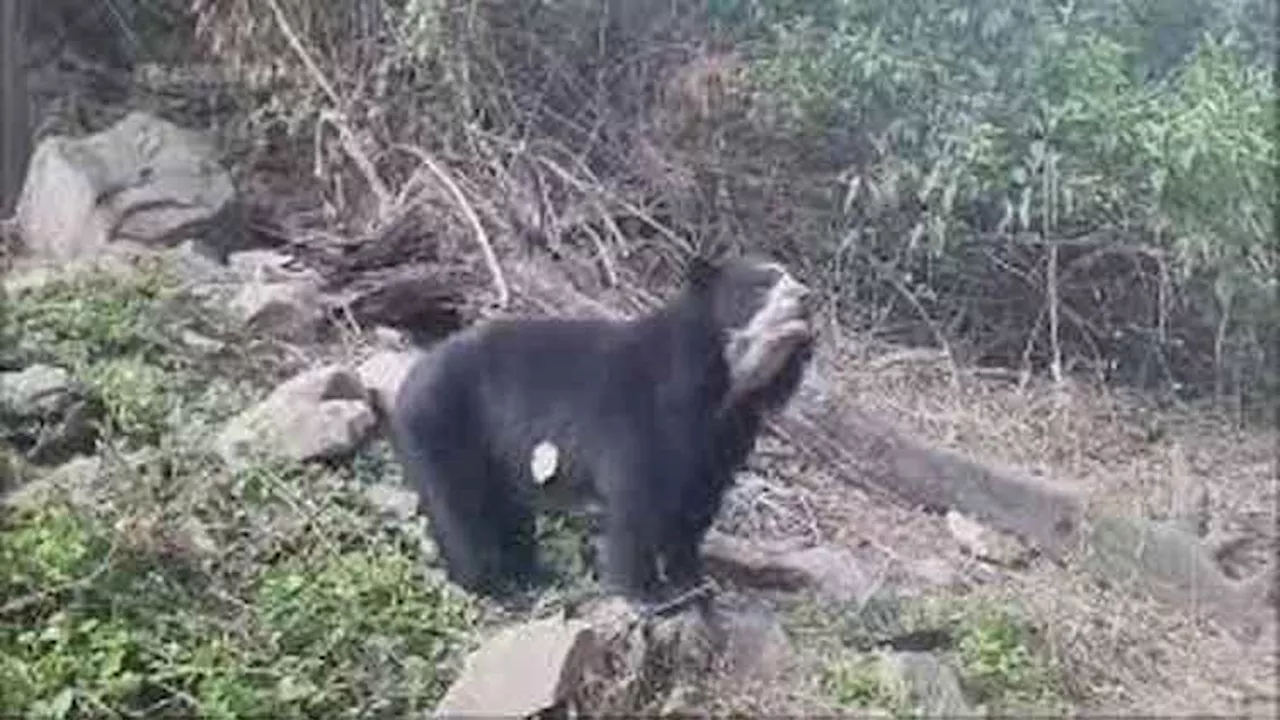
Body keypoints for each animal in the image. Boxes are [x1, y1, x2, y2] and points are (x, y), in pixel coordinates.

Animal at [384, 252, 814, 604]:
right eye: (762, 284)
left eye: (792, 277)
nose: (806, 296)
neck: (727, 381)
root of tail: (411, 377)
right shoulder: (642, 413)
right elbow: (638, 496)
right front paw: (647, 592)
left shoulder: (725, 435)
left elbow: (696, 503)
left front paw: (694, 584)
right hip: (443, 425)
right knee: (461, 510)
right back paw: (492, 586)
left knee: (508, 511)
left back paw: (533, 575)